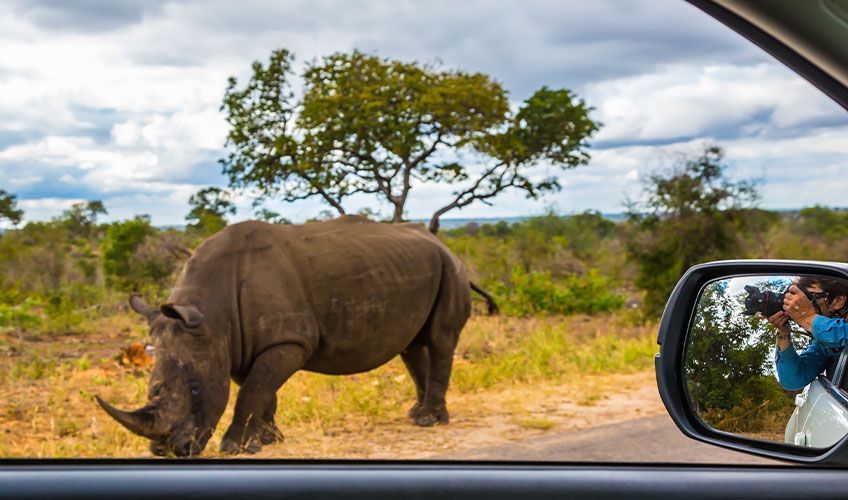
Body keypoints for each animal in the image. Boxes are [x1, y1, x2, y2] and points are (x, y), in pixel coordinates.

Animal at [96, 216, 473, 456]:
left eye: (194, 390)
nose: (167, 451)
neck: (211, 316)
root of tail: (440, 242)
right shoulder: (238, 344)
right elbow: (262, 390)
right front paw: (267, 440)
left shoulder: (288, 341)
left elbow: (253, 390)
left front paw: (235, 447)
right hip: (421, 268)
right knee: (412, 346)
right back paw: (417, 414)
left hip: (452, 269)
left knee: (440, 340)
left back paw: (428, 420)